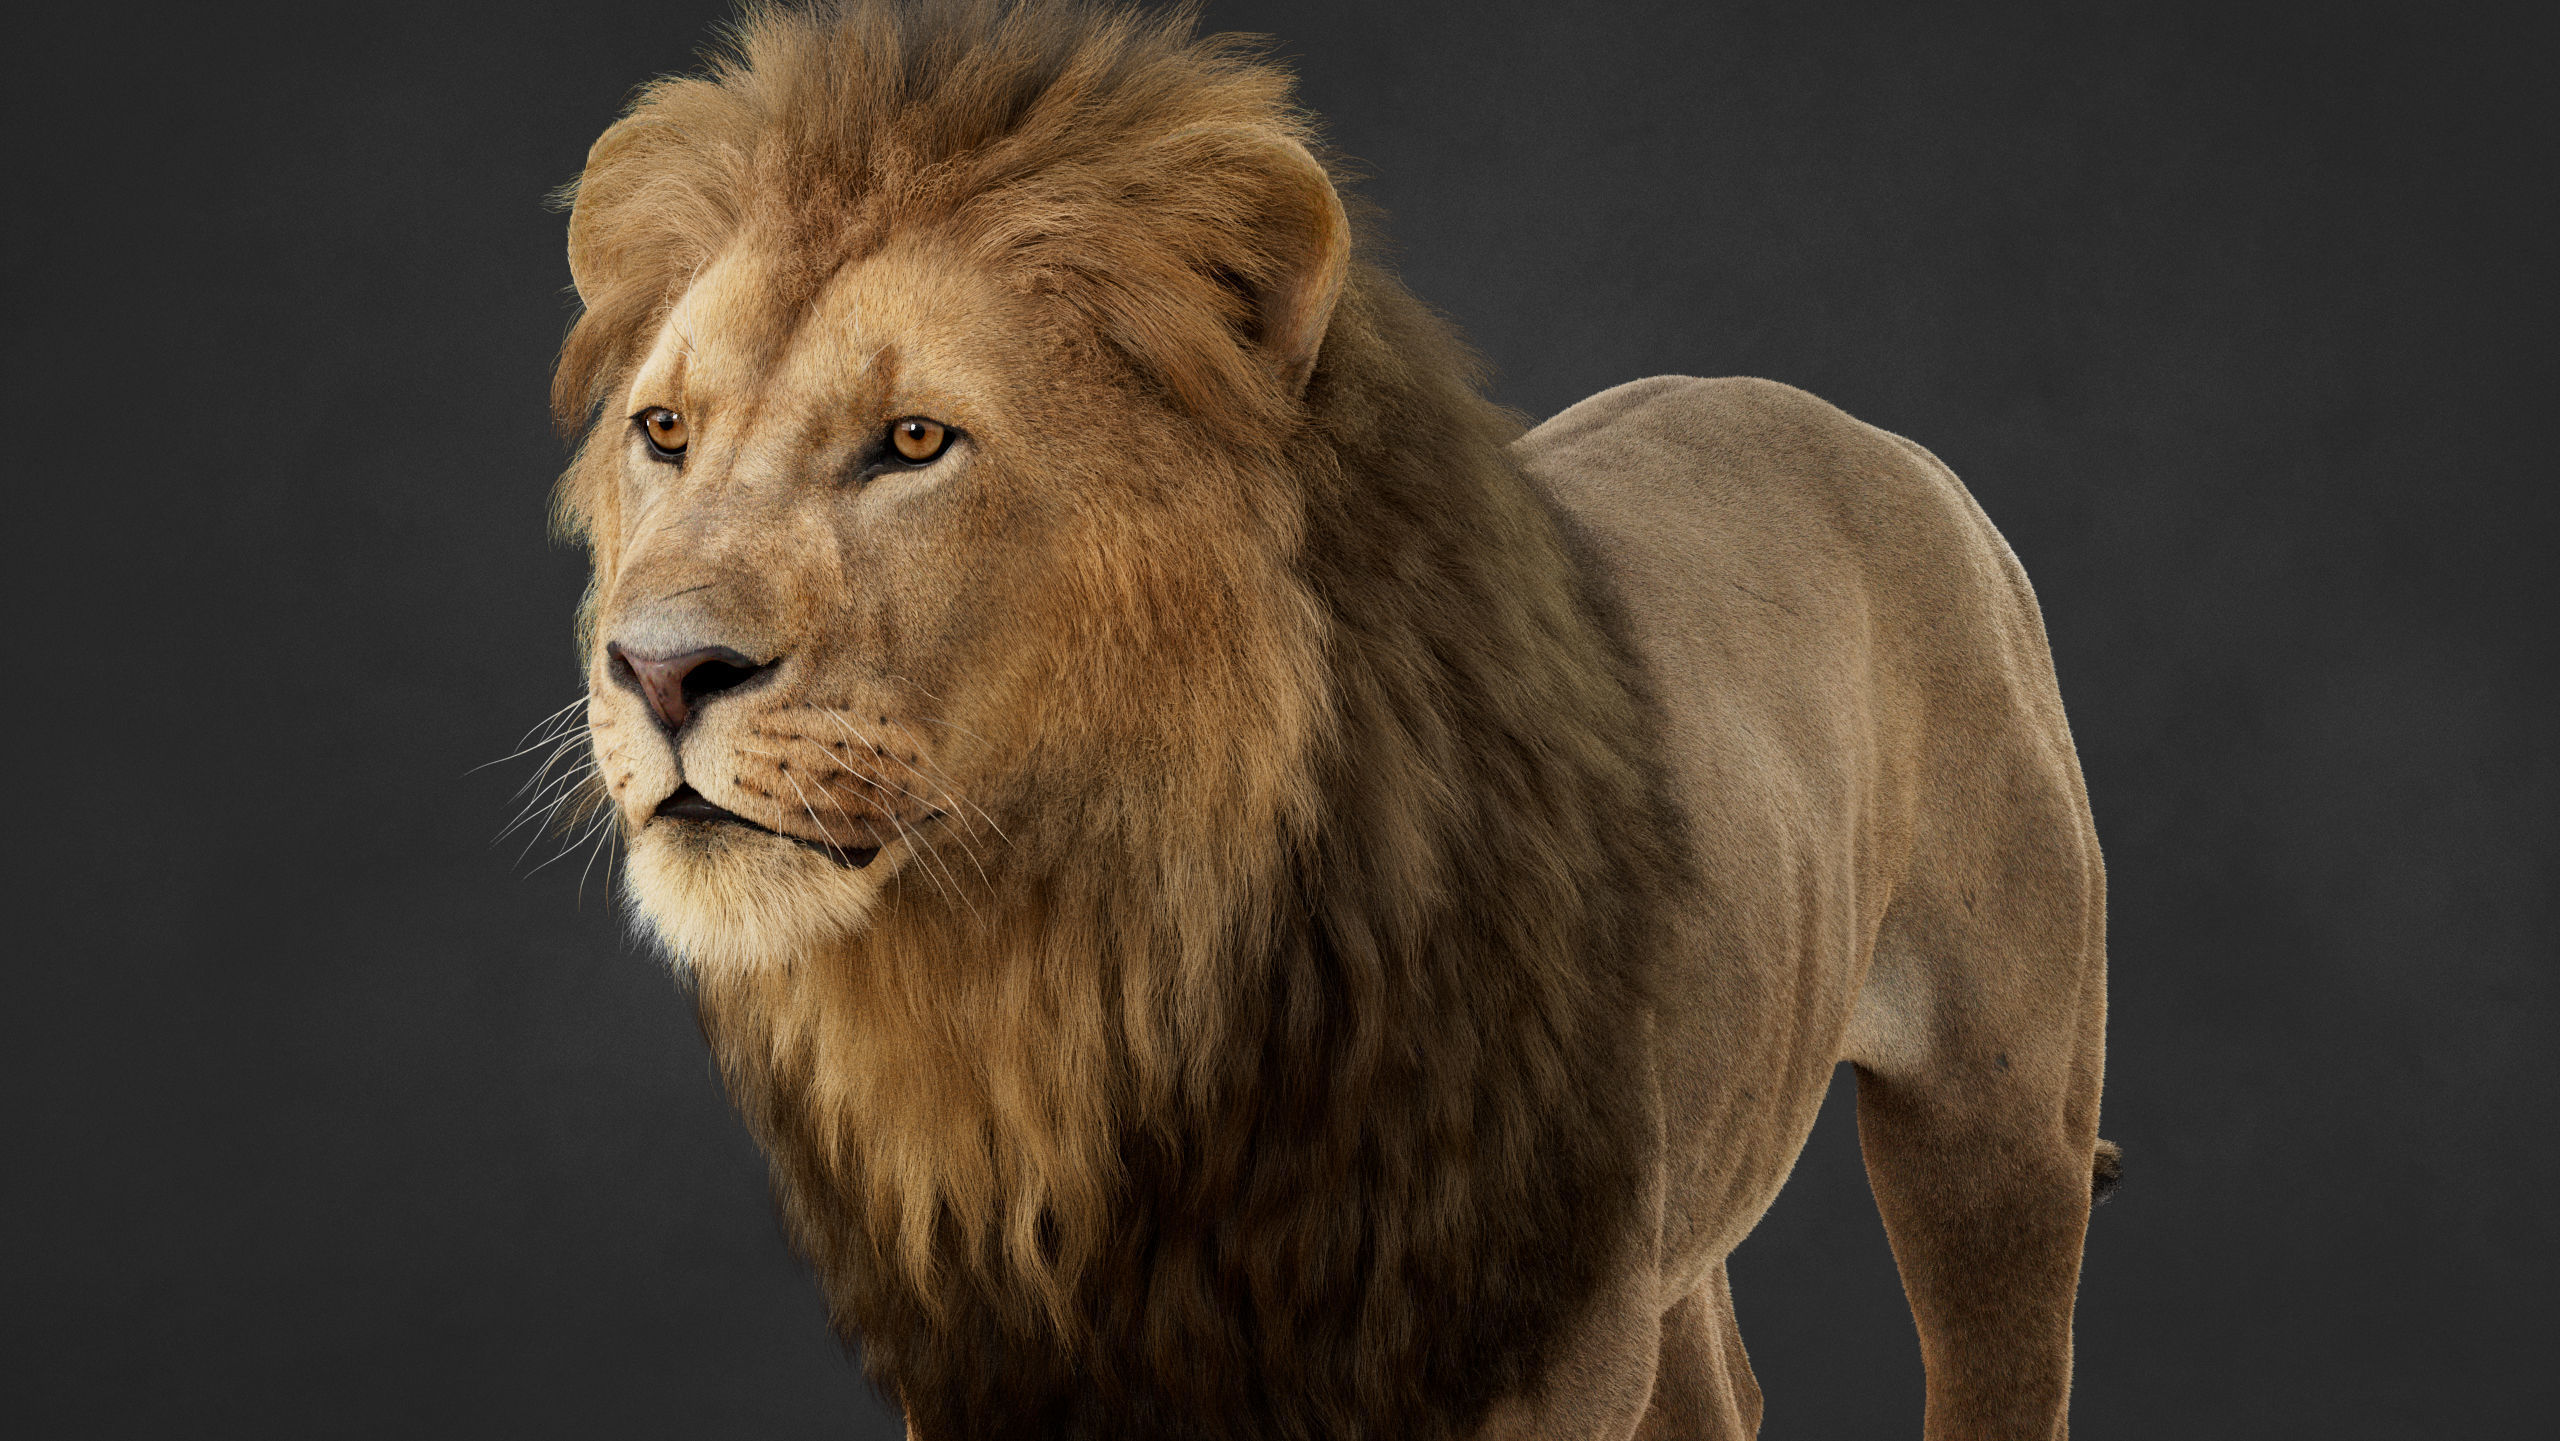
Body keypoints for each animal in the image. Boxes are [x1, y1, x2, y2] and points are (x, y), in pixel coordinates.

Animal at [548, 3, 2113, 1438]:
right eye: (665, 431)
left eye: (916, 441)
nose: (661, 670)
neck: (1070, 973)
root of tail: (1878, 439)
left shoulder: (1529, 1331)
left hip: (2000, 1117)